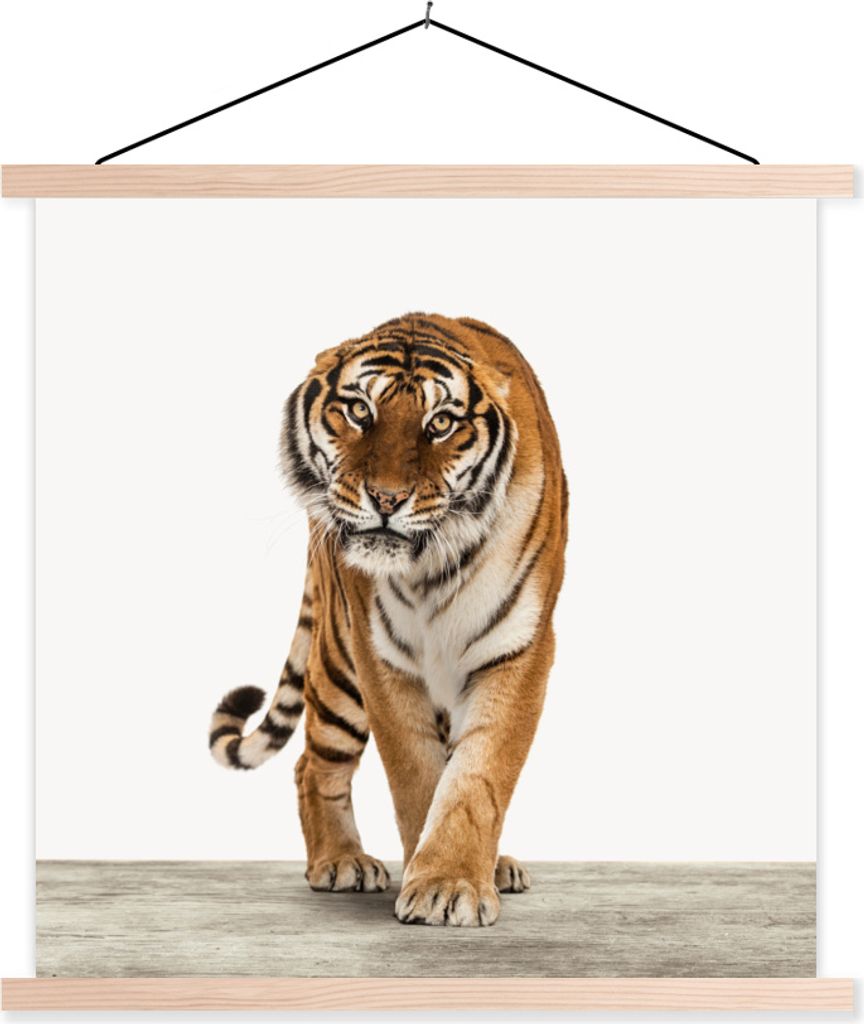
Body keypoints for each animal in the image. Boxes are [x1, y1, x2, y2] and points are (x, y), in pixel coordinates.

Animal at [209, 313, 567, 927]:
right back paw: (340, 862)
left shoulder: (519, 648)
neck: (434, 566)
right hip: (338, 665)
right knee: (312, 765)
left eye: (441, 423)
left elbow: (477, 775)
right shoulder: (378, 655)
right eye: (359, 411)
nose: (386, 499)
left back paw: (496, 865)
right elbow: (417, 776)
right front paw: (437, 882)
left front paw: (453, 880)